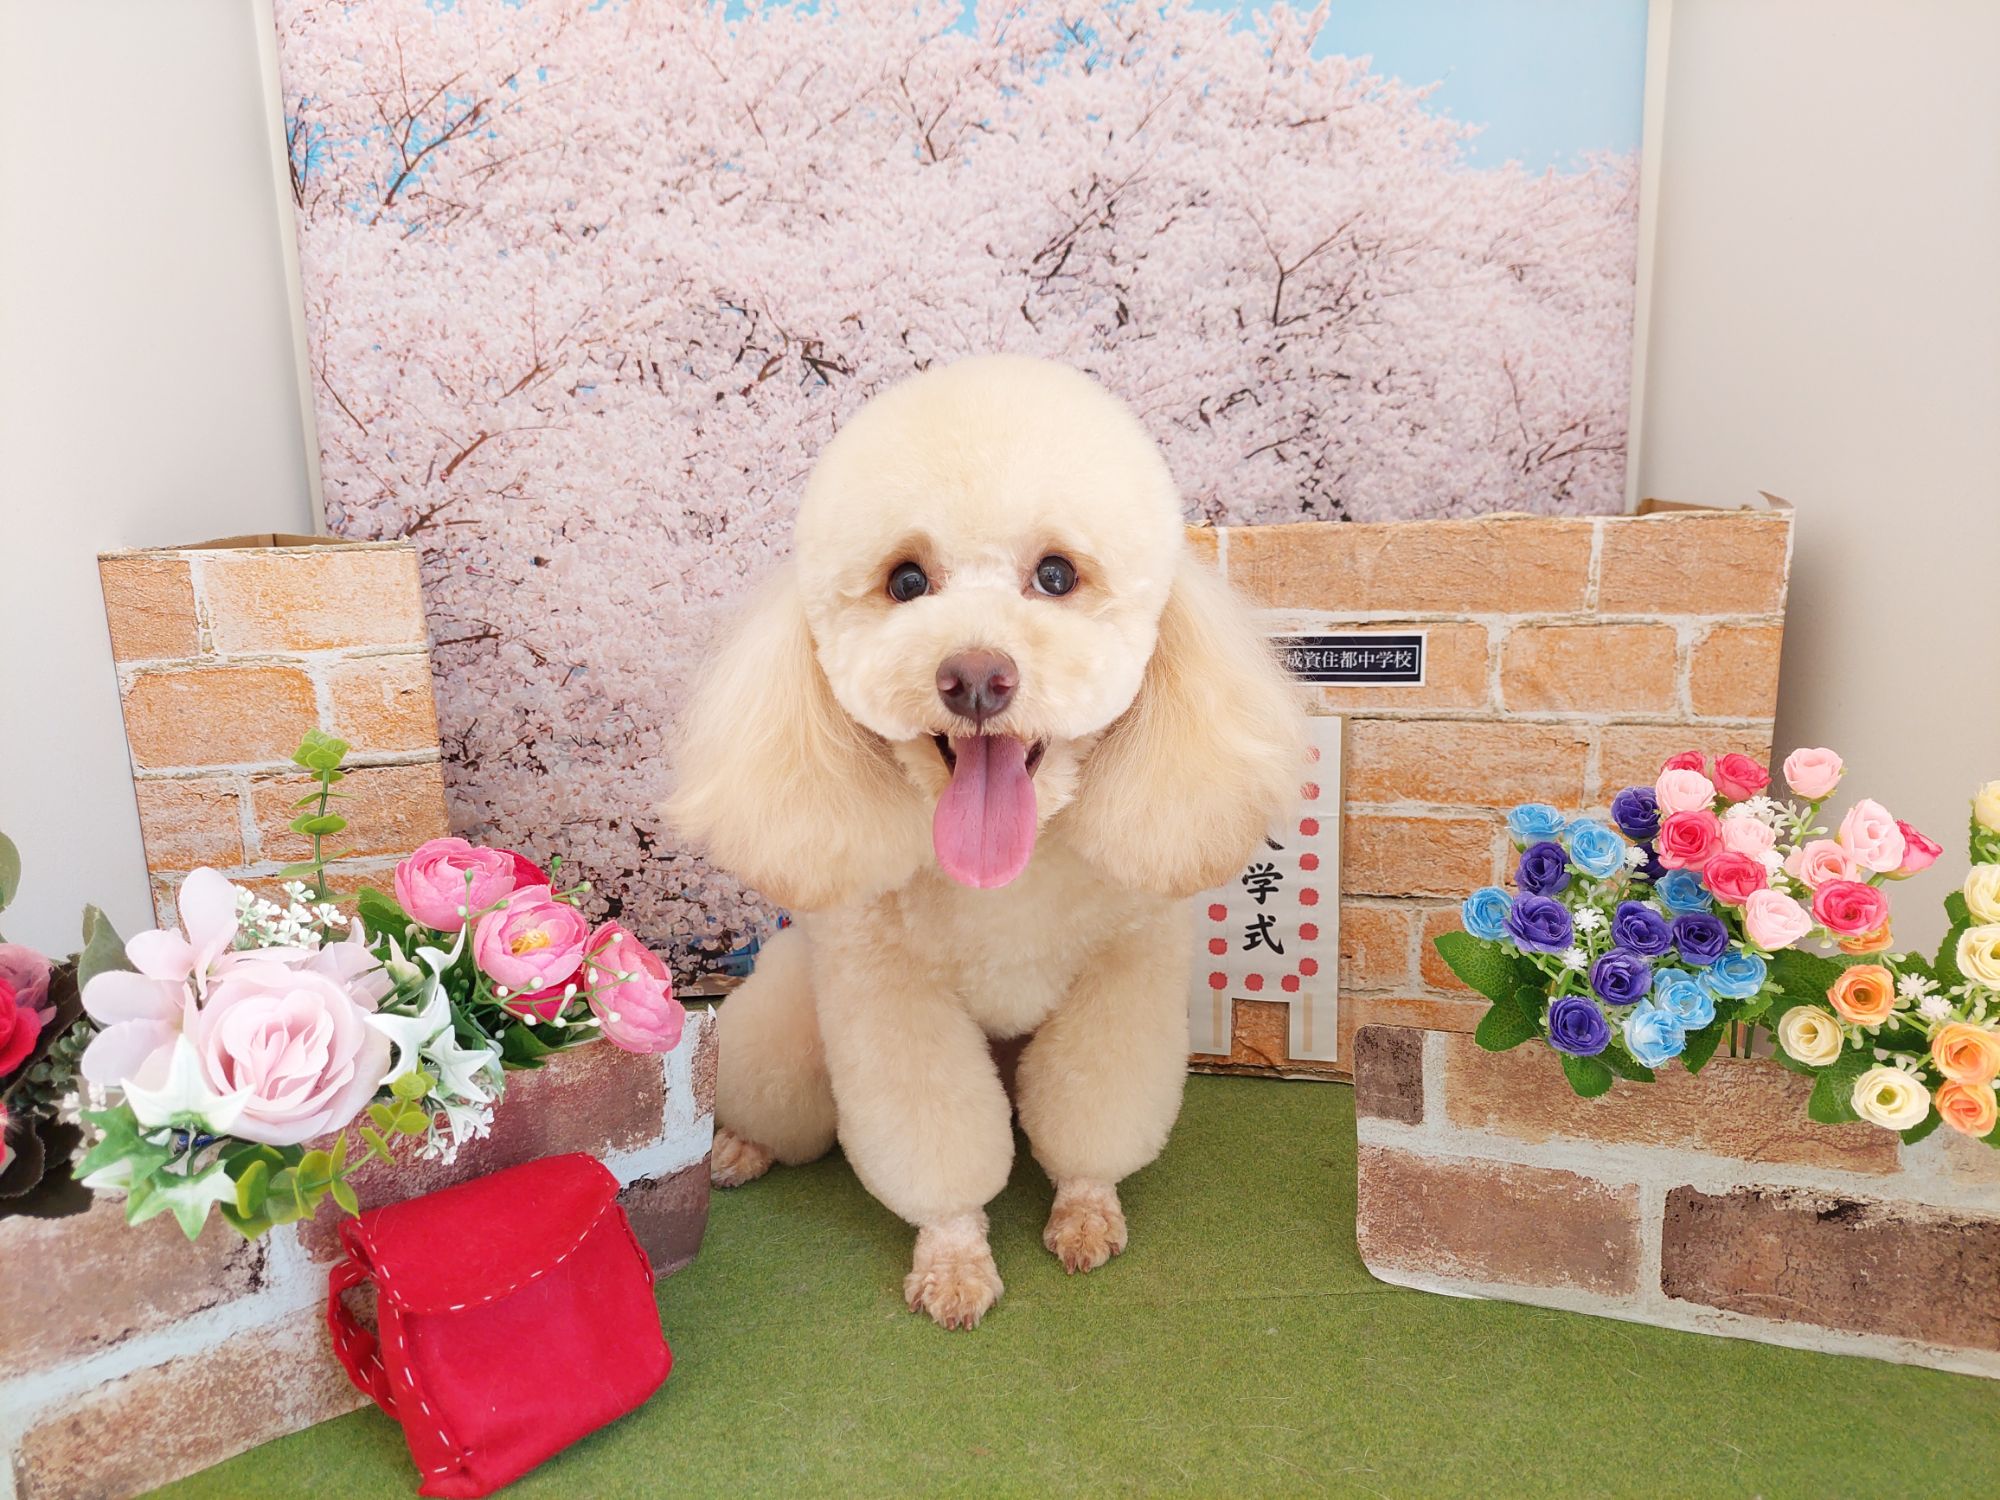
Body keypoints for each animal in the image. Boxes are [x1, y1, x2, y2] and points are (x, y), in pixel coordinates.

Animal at [668, 355, 1304, 1329]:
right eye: (904, 582)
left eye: (1056, 574)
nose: (974, 676)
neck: (1009, 874)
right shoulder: (890, 994)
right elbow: (936, 1139)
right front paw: (955, 1259)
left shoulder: (1124, 973)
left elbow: (1095, 1110)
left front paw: (1085, 1211)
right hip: (788, 1036)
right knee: (777, 1107)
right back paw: (738, 1149)